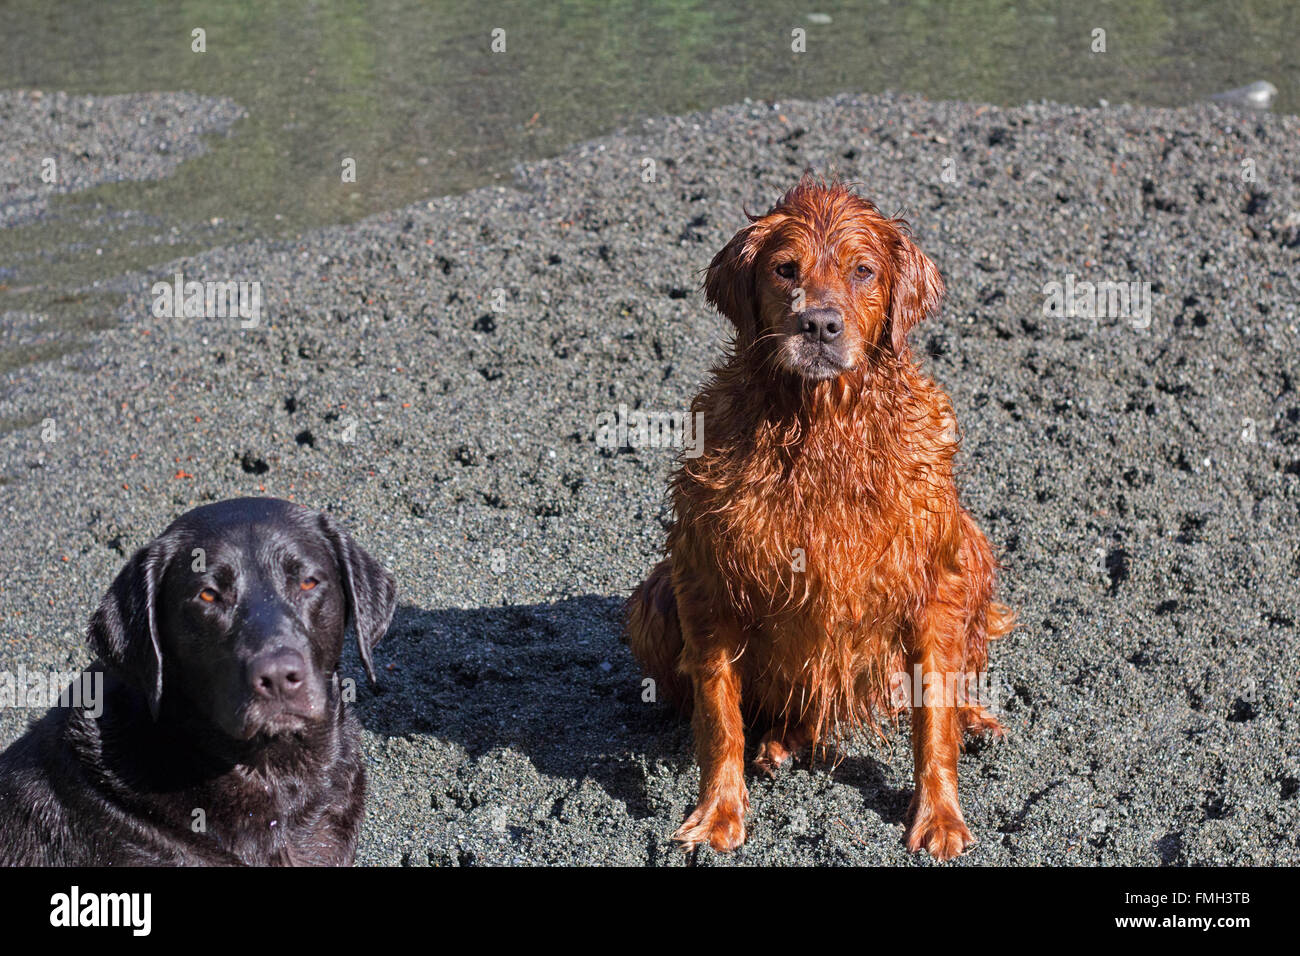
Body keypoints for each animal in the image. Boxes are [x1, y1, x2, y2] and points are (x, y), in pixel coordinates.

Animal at [624, 178, 1008, 858]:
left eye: (863, 271)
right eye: (785, 270)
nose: (820, 324)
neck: (821, 429)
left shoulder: (934, 577)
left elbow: (934, 715)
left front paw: (939, 815)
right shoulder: (706, 577)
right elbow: (719, 715)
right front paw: (718, 813)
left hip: (973, 547)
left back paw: (975, 718)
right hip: (652, 598)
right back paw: (779, 743)